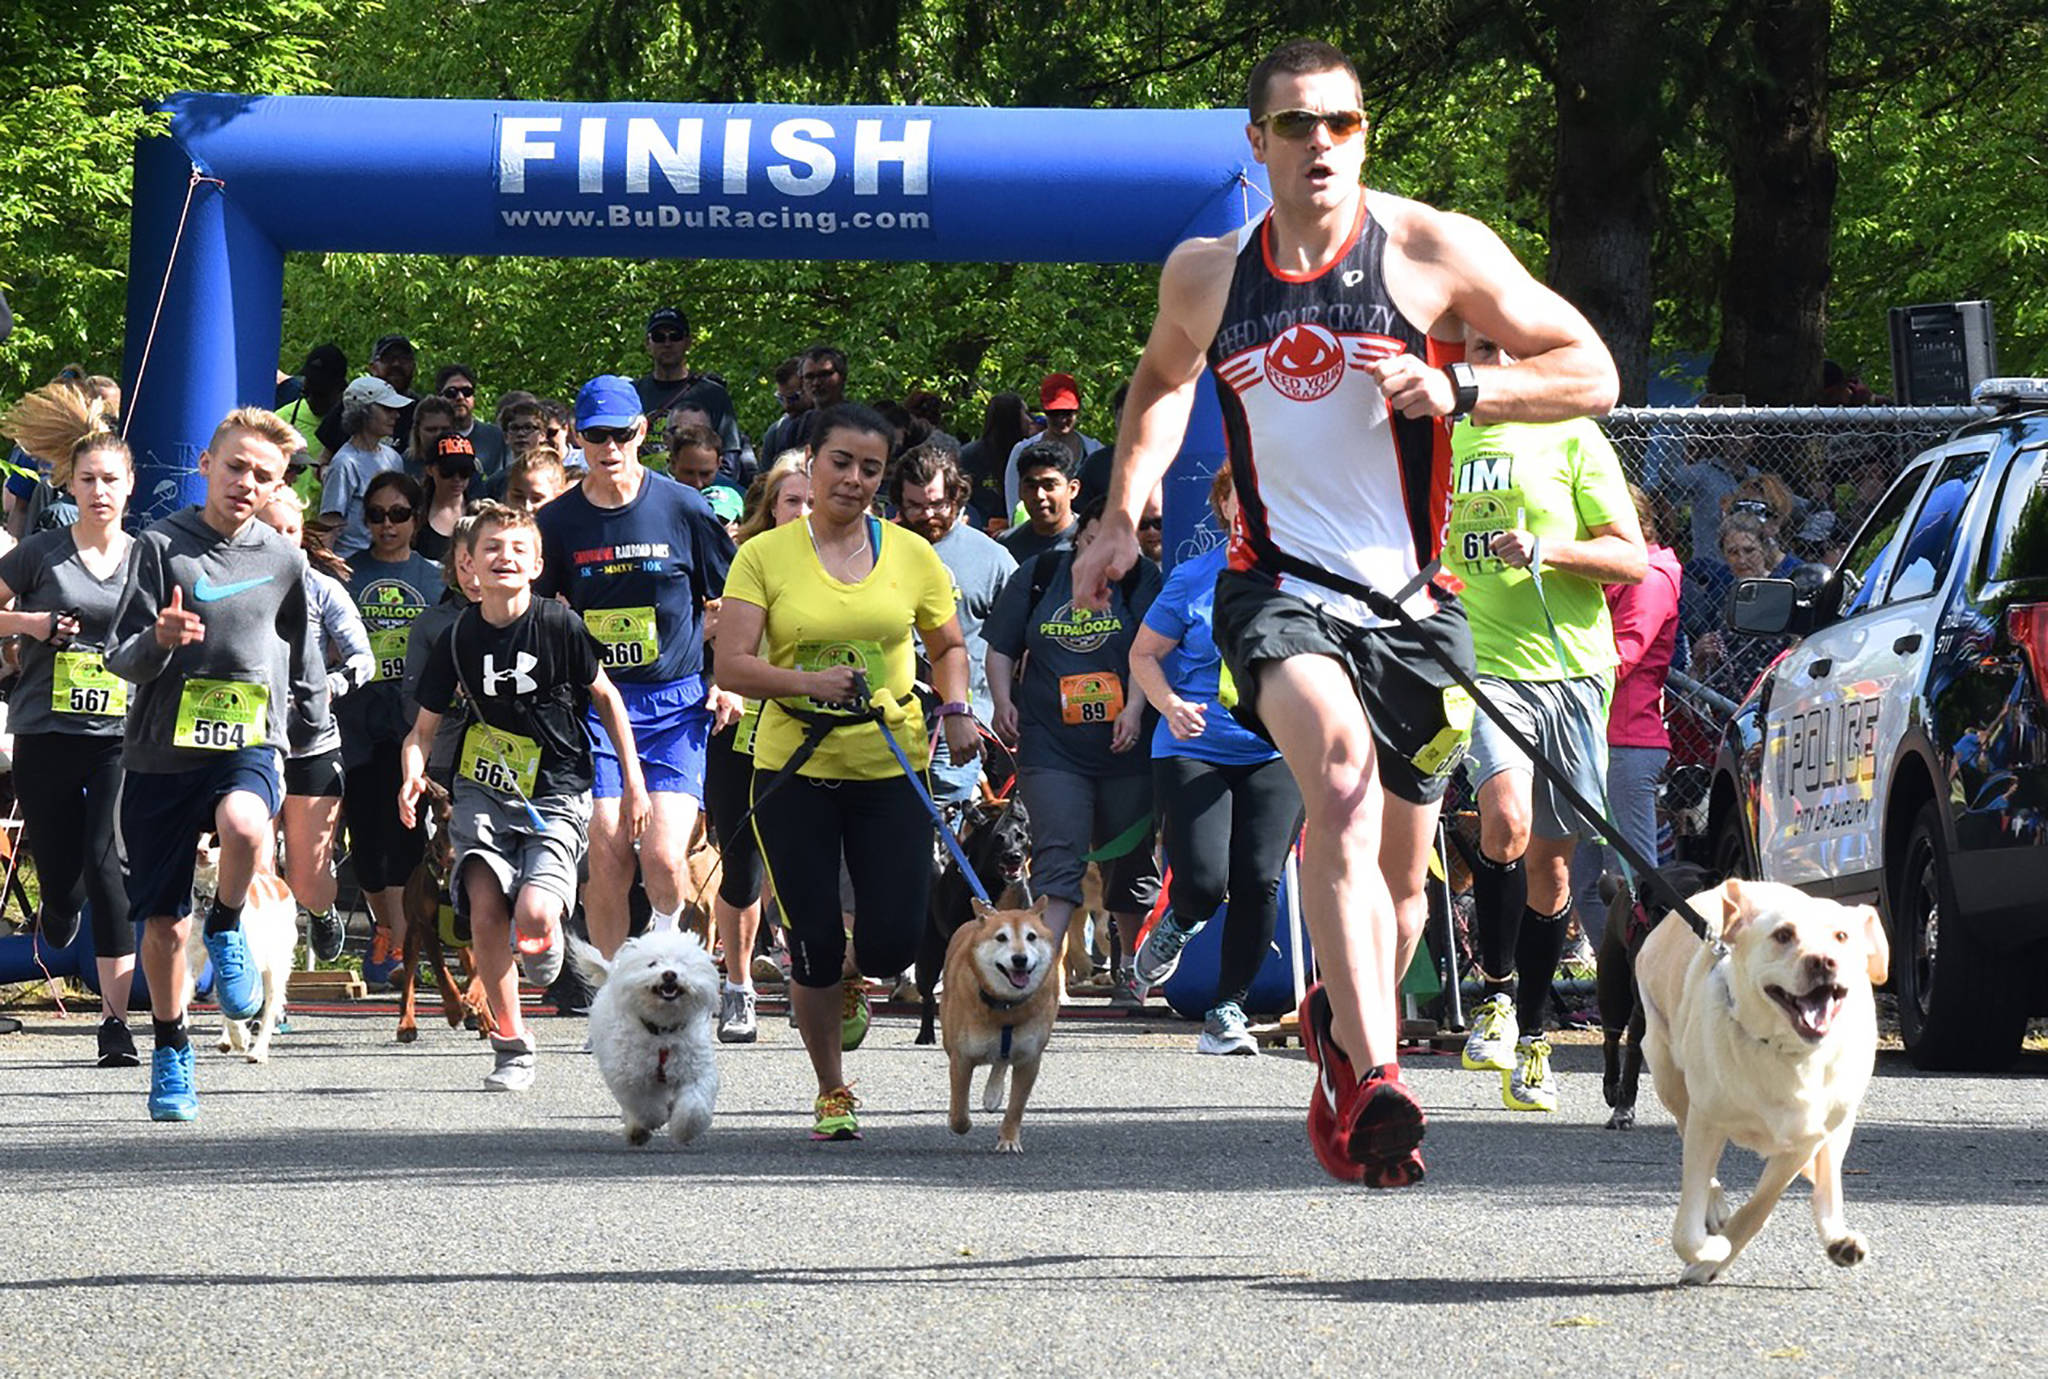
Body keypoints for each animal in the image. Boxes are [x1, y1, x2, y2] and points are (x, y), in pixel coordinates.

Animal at [185, 840, 299, 1065]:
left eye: (215, 838)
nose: (200, 852)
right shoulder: (192, 956)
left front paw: (241, 1038)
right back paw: (227, 1040)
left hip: (275, 968)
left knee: (269, 1011)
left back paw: (258, 1051)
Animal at [397, 778, 497, 1036]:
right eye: (442, 821)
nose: (452, 858)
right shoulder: (426, 926)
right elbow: (442, 972)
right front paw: (453, 1009)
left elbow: (481, 974)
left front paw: (473, 1000)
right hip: (412, 932)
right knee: (409, 977)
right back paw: (406, 1025)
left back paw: (485, 1019)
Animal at [573, 930, 724, 1147]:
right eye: (652, 964)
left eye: (682, 963)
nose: (670, 973)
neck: (662, 1033)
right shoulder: (631, 1079)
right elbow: (648, 1107)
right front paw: (655, 1119)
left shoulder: (696, 1072)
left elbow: (693, 1108)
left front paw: (684, 1131)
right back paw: (637, 1130)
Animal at [942, 893, 1064, 1147]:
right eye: (1001, 937)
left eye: (1031, 936)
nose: (1019, 959)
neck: (1007, 1006)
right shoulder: (961, 1057)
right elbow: (959, 1109)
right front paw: (958, 1121)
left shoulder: (1030, 1059)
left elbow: (1016, 1107)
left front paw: (1008, 1139)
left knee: (1001, 1061)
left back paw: (993, 1095)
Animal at [1630, 876, 1884, 1286]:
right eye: (1783, 935)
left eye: (1842, 936)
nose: (1823, 961)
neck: (1786, 1051)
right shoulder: (1707, 1122)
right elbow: (1686, 1229)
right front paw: (1711, 1251)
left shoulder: (1803, 1140)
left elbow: (1760, 1206)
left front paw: (1717, 1256)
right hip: (1668, 1074)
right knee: (1691, 1143)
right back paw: (1715, 1212)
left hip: (1839, 1122)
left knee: (1828, 1174)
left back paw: (1838, 1237)